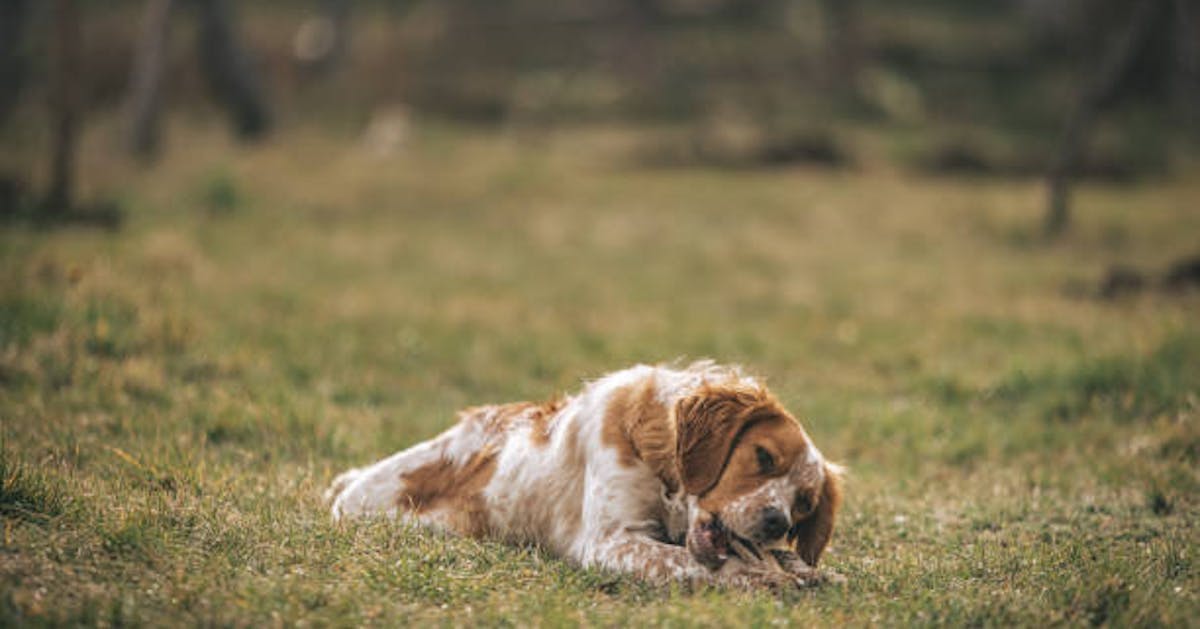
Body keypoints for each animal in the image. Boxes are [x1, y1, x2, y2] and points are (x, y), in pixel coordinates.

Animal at [328, 360, 844, 592]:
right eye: (763, 456)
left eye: (803, 503)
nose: (777, 522)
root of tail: (348, 487)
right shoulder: (610, 541)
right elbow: (699, 563)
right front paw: (768, 578)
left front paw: (809, 570)